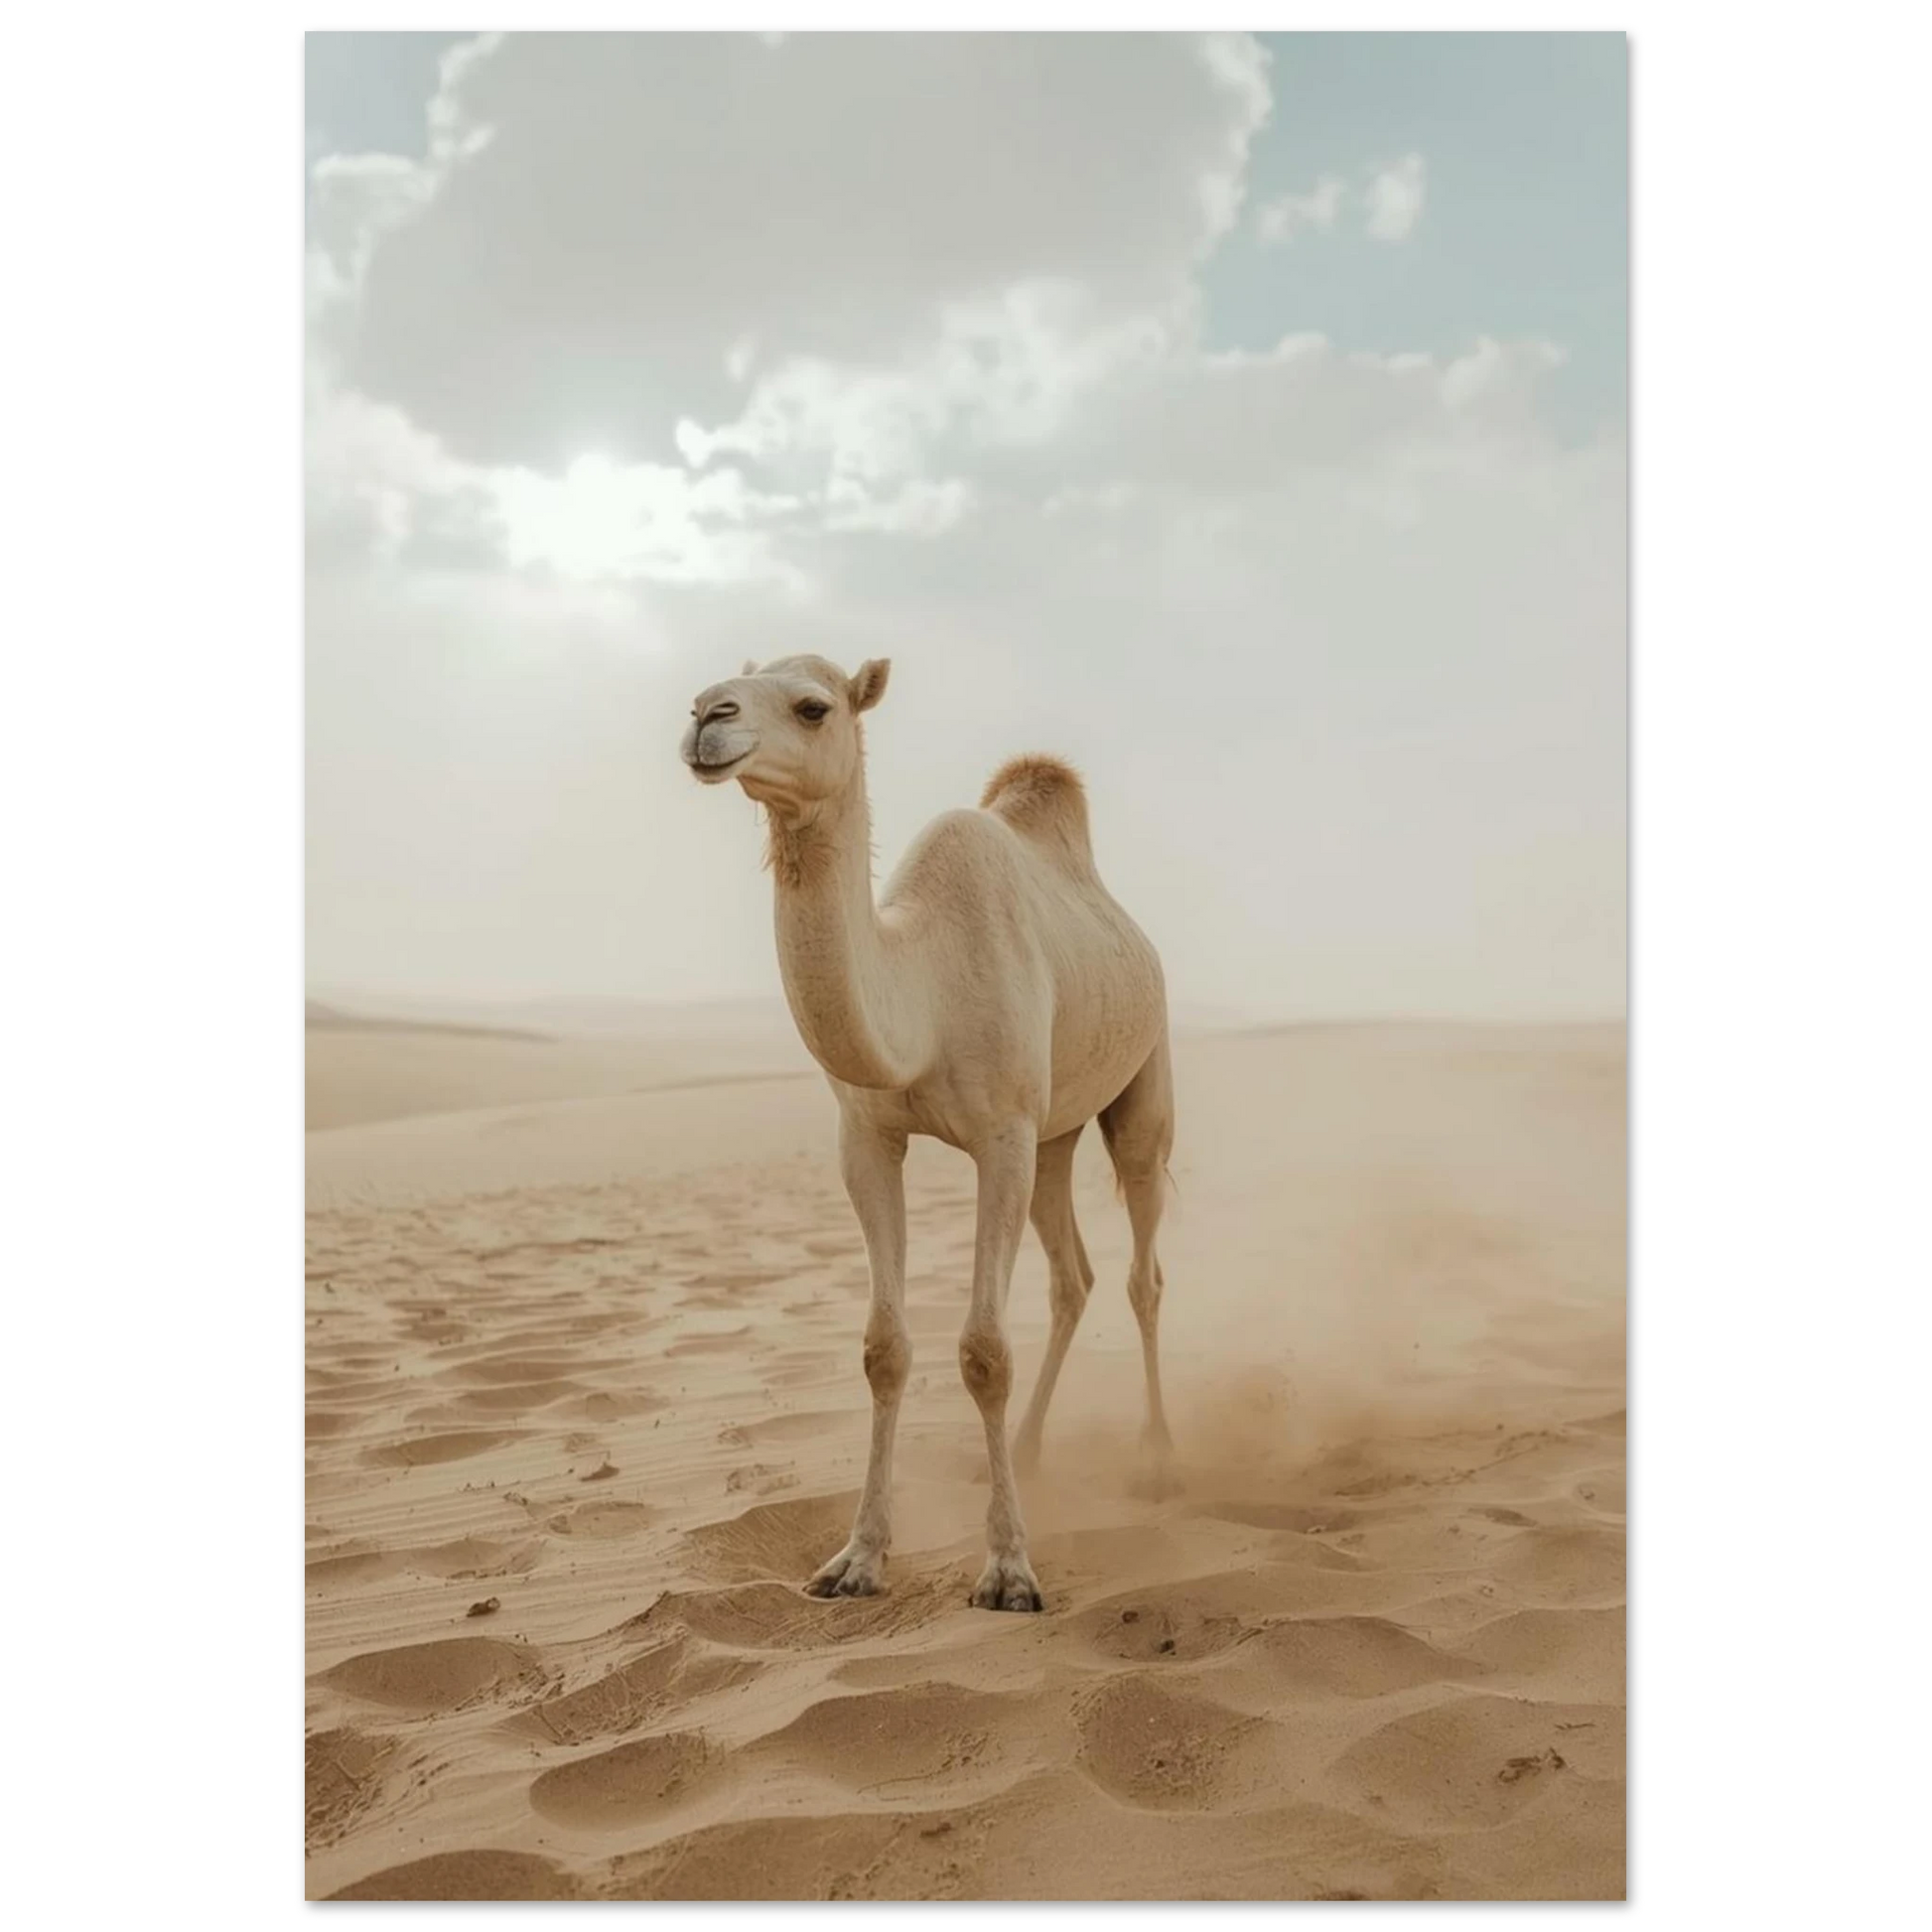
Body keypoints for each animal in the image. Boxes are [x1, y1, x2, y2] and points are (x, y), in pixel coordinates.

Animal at [679, 653, 1176, 1613]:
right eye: (720, 685)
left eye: (814, 706)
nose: (704, 719)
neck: (926, 992)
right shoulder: (869, 1139)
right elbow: (885, 1348)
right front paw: (856, 1559)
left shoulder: (1003, 1136)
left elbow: (984, 1351)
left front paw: (1010, 1570)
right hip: (1055, 1135)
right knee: (1073, 1277)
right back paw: (1026, 1448)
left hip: (1143, 1085)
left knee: (1143, 1271)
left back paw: (1158, 1454)